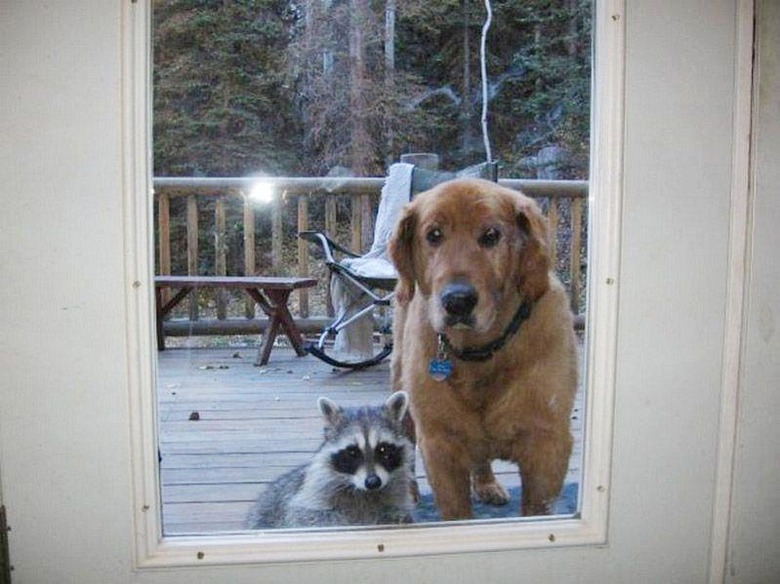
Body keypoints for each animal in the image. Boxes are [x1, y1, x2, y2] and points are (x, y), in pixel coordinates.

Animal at [247, 392, 418, 528]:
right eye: (352, 452)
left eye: (383, 449)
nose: (373, 482)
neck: (361, 490)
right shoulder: (310, 498)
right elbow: (306, 516)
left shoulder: (394, 499)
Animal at [390, 178, 580, 520]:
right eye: (433, 235)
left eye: (491, 235)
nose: (458, 301)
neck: (480, 353)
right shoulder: (440, 444)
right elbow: (456, 512)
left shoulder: (548, 444)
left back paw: (487, 484)